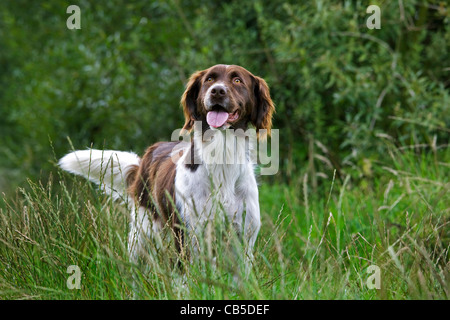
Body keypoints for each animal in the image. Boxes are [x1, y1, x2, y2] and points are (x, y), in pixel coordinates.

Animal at [59, 64, 274, 272]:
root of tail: (147, 155)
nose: (217, 91)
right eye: (209, 79)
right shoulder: (188, 237)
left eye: (237, 80)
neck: (222, 156)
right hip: (143, 232)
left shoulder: (242, 242)